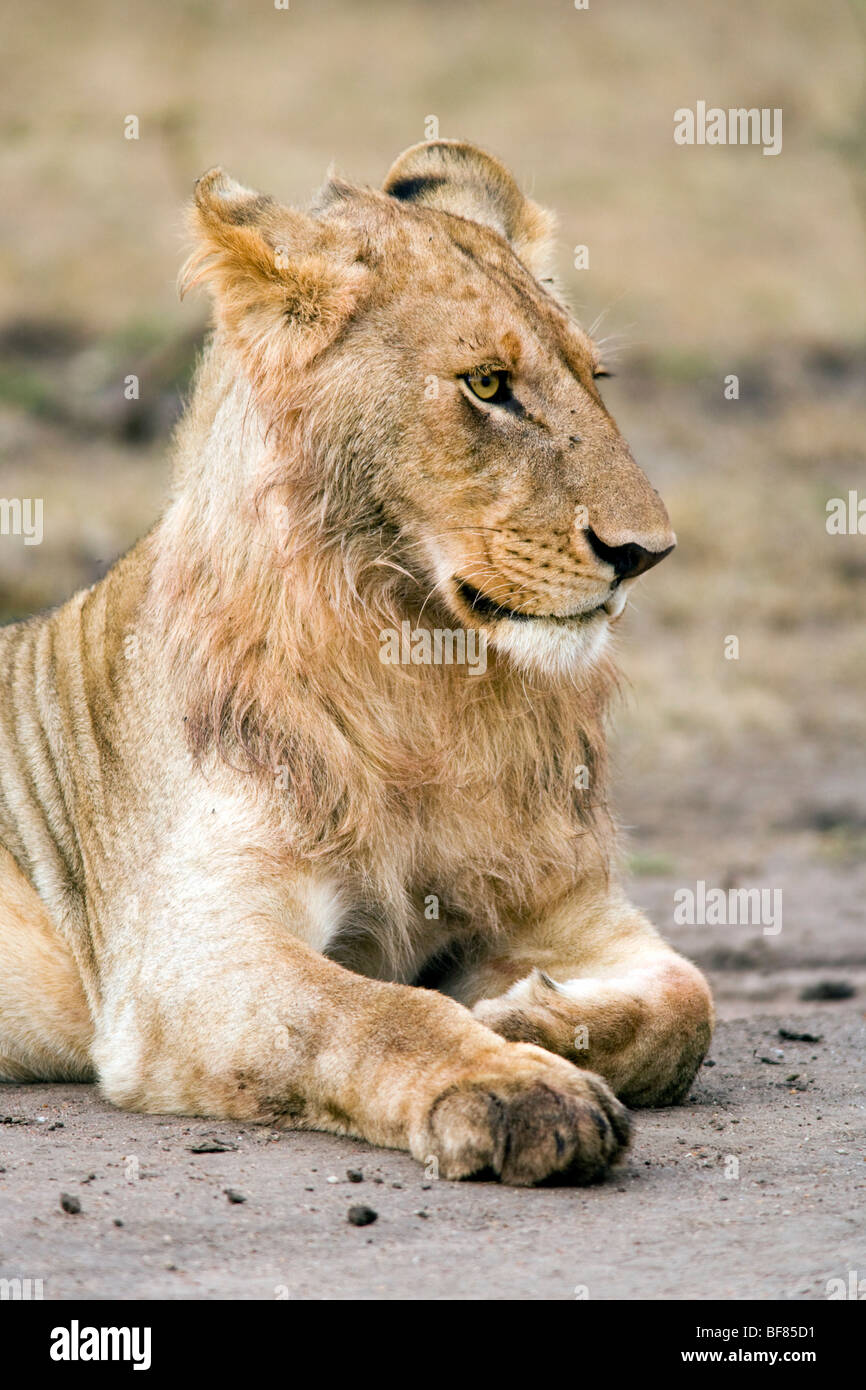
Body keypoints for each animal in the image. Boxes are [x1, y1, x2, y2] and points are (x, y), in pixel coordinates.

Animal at [0, 143, 717, 1184]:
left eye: (597, 375)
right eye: (488, 385)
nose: (645, 553)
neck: (423, 674)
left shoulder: (573, 907)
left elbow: (688, 1001)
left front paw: (524, 1017)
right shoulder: (189, 958)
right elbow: (379, 1014)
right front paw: (519, 1084)